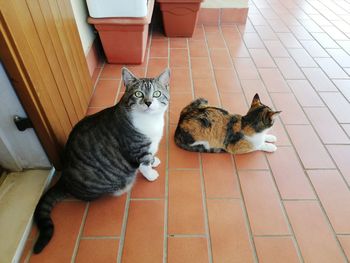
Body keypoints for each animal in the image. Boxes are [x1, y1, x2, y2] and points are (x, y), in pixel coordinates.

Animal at [32, 67, 170, 255]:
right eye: (138, 94)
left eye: (156, 93)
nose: (148, 102)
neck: (150, 122)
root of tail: (64, 181)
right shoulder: (136, 149)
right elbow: (144, 163)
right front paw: (151, 174)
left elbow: (150, 155)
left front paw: (155, 160)